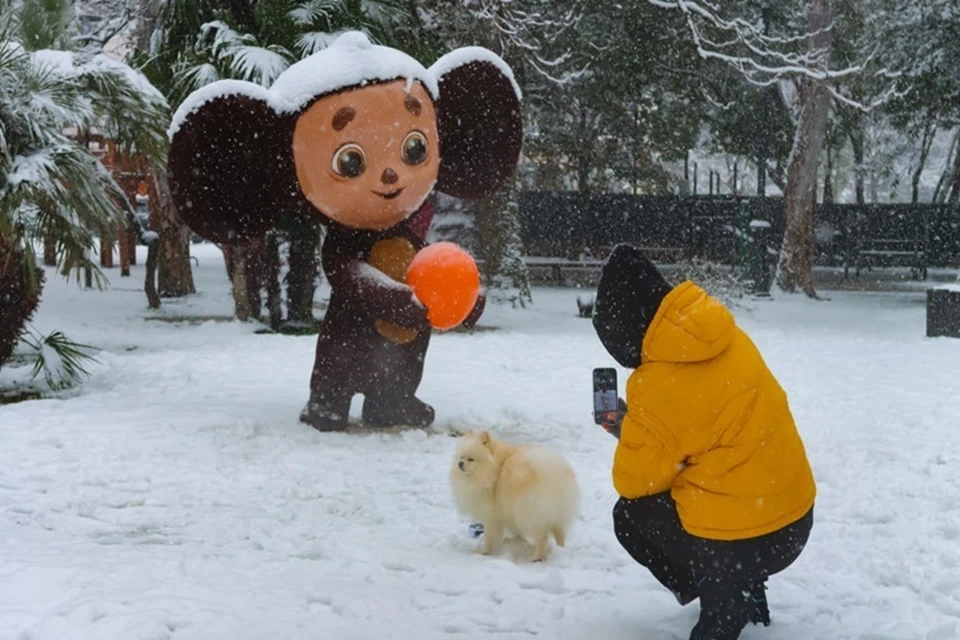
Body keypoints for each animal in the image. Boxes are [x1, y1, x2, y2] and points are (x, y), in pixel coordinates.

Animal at [448, 430, 576, 560]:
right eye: (461, 457)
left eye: (471, 459)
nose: (460, 463)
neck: (494, 470)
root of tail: (554, 473)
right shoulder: (508, 511)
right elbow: (515, 529)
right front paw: (516, 539)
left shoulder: (491, 515)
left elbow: (489, 536)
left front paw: (483, 551)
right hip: (553, 514)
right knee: (560, 533)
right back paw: (561, 549)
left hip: (530, 516)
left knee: (543, 537)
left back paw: (536, 557)